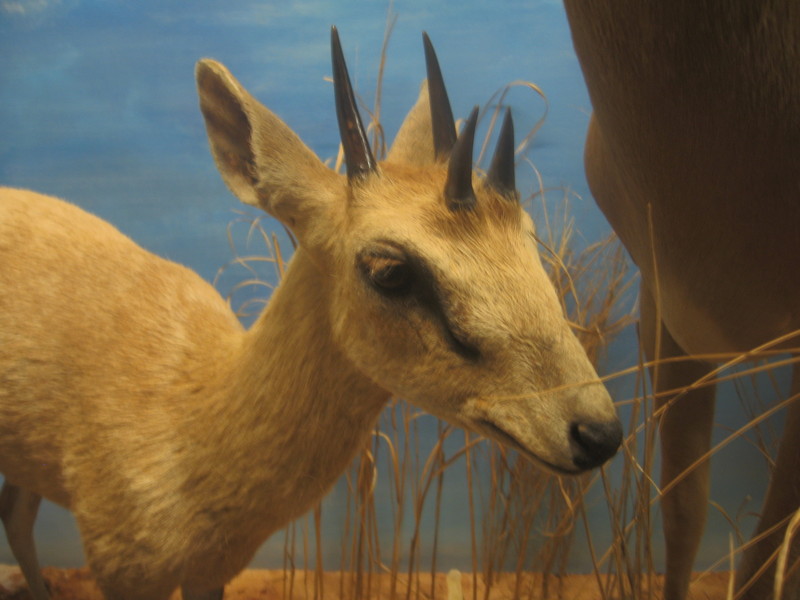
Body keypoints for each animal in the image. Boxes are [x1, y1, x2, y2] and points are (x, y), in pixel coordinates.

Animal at [0, 29, 624, 600]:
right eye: (389, 269)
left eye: (528, 233)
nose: (598, 432)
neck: (190, 417)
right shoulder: (124, 571)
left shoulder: (210, 572)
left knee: (16, 512)